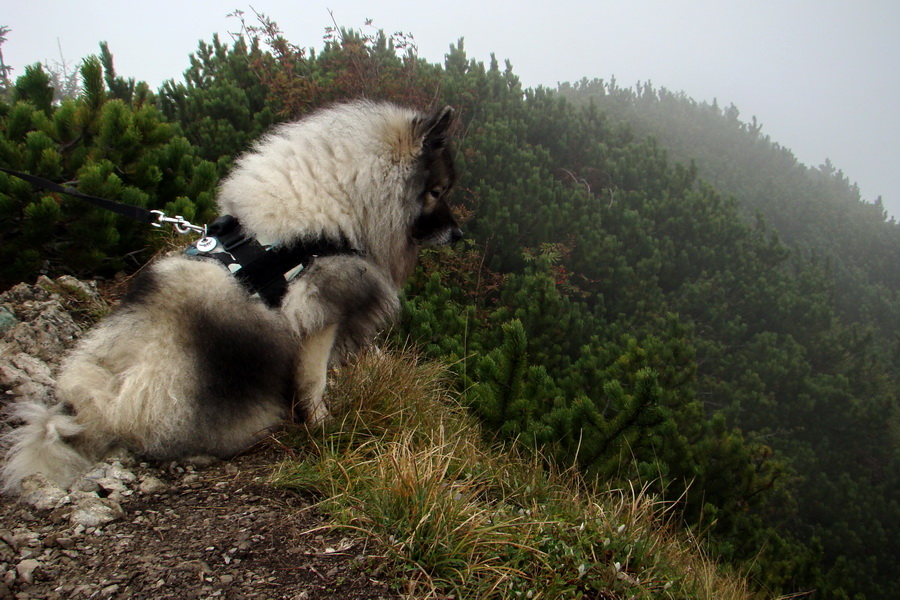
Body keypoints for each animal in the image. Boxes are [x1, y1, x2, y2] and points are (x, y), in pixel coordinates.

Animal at [0, 99, 460, 492]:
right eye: (437, 191)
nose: (458, 233)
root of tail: (102, 410)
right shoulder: (320, 310)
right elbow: (313, 381)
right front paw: (322, 425)